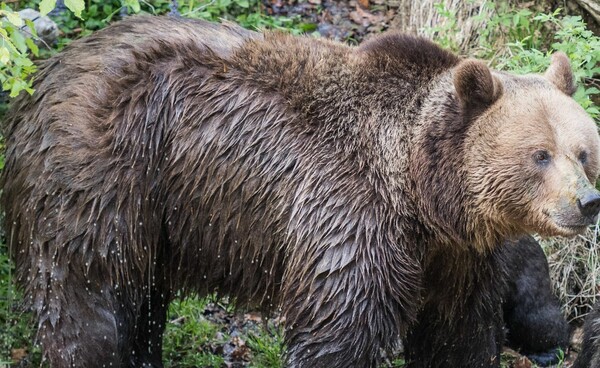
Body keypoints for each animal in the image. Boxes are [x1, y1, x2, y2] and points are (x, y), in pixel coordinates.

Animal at [3, 15, 600, 368]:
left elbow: (456, 332)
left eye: (583, 150)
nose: (587, 202)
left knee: (143, 295)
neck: (422, 196)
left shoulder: (457, 256)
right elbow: (339, 328)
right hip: (101, 173)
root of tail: (45, 73)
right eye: (540, 154)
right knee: (88, 289)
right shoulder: (349, 215)